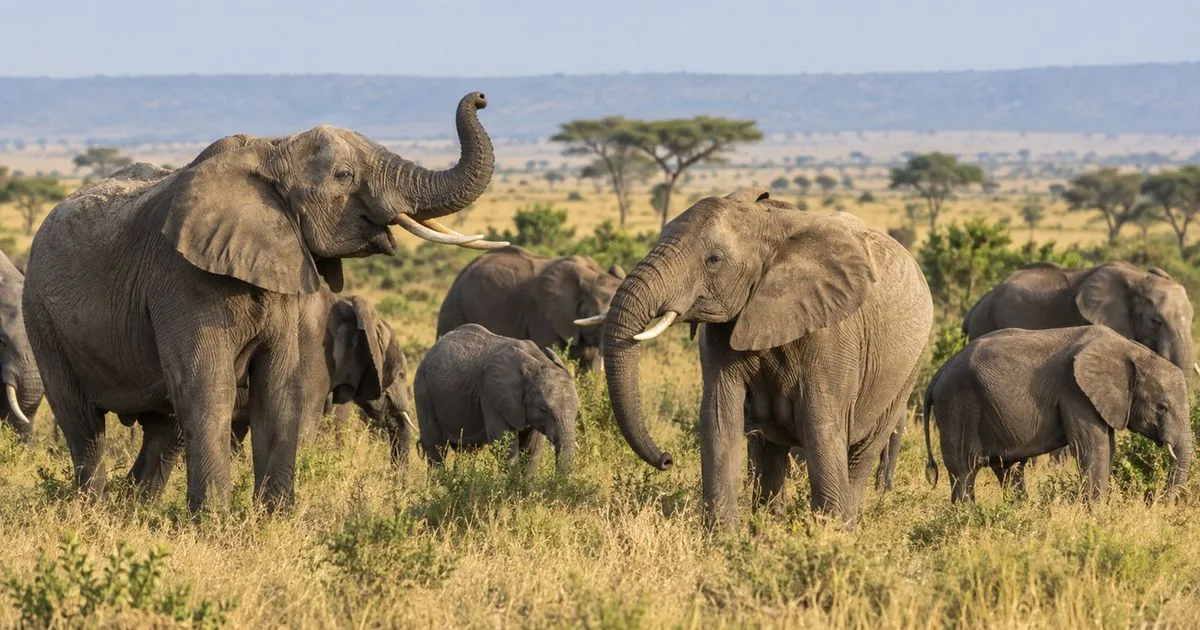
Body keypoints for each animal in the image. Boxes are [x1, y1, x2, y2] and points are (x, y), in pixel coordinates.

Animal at [24, 92, 503, 512]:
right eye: (343, 176)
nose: (481, 97)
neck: (271, 150)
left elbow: (280, 387)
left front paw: (274, 517)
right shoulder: (179, 280)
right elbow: (208, 387)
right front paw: (214, 525)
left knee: (163, 431)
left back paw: (133, 509)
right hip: (42, 318)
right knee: (84, 424)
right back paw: (94, 512)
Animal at [413, 323, 579, 473]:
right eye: (543, 409)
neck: (536, 362)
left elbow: (532, 448)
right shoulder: (491, 395)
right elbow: (504, 444)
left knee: (467, 449)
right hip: (423, 390)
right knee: (436, 446)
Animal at [601, 189, 934, 529]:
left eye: (714, 260)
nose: (666, 459)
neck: (770, 224)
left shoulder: (832, 334)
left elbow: (821, 424)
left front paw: (827, 532)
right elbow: (719, 416)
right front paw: (725, 536)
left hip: (909, 369)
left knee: (862, 452)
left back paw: (846, 526)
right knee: (770, 452)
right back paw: (769, 525)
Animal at [923, 325, 1192, 502]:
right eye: (1162, 407)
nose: (1156, 501)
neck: (1132, 351)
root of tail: (939, 373)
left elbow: (1108, 448)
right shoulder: (1076, 392)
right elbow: (1092, 448)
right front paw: (1095, 516)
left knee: (1008, 470)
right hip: (956, 404)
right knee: (964, 470)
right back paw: (968, 517)